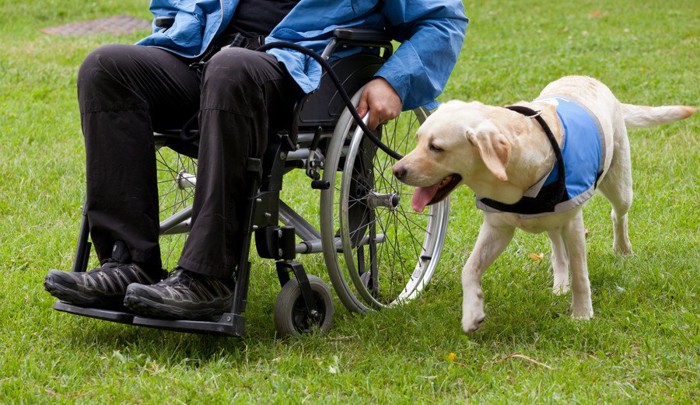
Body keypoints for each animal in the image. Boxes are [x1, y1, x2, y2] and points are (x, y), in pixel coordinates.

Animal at [394, 76, 696, 332]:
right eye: (418, 139)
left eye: (436, 148)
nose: (397, 170)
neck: (515, 174)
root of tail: (591, 80)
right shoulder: (497, 228)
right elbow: (469, 269)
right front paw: (472, 312)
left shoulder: (574, 224)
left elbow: (581, 275)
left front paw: (582, 315)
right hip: (552, 217)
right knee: (557, 250)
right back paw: (560, 283)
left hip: (619, 186)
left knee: (618, 215)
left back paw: (622, 249)